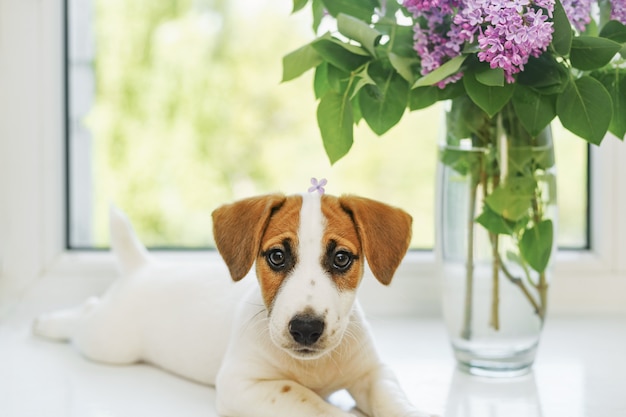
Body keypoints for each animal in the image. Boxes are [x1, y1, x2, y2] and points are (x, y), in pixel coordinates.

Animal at [34, 193, 432, 416]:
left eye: (341, 259)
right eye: (276, 256)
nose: (305, 328)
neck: (313, 368)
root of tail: (144, 266)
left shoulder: (373, 374)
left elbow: (394, 400)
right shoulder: (242, 385)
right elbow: (312, 403)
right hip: (108, 342)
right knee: (86, 313)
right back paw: (45, 322)